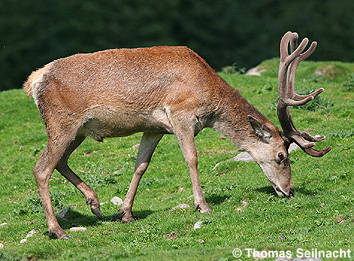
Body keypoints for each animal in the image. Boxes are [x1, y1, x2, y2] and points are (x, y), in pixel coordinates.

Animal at [23, 31, 330, 238]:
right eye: (282, 156)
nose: (289, 190)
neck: (209, 97)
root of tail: (33, 81)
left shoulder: (154, 128)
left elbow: (141, 166)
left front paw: (126, 213)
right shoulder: (181, 113)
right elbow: (192, 157)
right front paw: (203, 206)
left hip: (78, 131)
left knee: (59, 162)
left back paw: (95, 203)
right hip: (62, 121)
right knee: (42, 168)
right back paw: (57, 229)